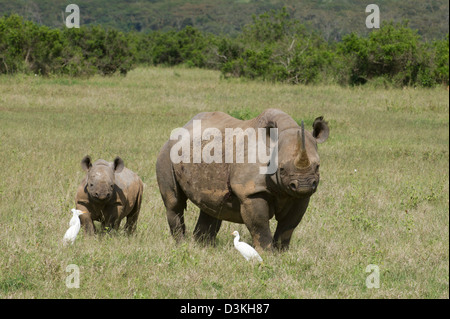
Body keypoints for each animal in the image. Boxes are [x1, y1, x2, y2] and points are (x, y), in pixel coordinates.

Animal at [156, 109, 328, 251]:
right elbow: (259, 225)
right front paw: (266, 253)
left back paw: (203, 248)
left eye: (318, 166)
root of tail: (182, 128)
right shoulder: (250, 192)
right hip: (166, 153)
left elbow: (288, 225)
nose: (304, 186)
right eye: (282, 169)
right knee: (174, 202)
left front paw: (282, 253)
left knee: (211, 206)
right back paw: (182, 246)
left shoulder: (299, 197)